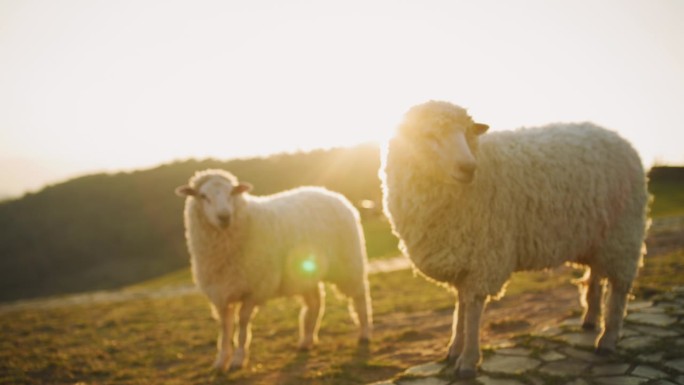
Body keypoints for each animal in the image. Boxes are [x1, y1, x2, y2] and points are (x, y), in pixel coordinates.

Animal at [174, 170, 372, 370]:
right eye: (202, 196)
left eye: (232, 193)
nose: (224, 216)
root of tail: (329, 192)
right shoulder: (220, 294)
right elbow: (225, 328)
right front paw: (221, 361)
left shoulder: (254, 288)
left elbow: (243, 324)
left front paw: (239, 358)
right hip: (306, 274)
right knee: (315, 303)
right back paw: (307, 340)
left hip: (349, 263)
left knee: (359, 297)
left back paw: (364, 333)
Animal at [382, 100, 648, 376]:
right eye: (429, 135)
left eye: (467, 133)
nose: (468, 168)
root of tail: (619, 138)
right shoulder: (462, 258)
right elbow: (461, 306)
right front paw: (454, 348)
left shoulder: (485, 255)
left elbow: (473, 308)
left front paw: (468, 360)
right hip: (596, 237)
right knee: (596, 275)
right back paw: (590, 320)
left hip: (623, 233)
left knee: (619, 288)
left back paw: (607, 339)